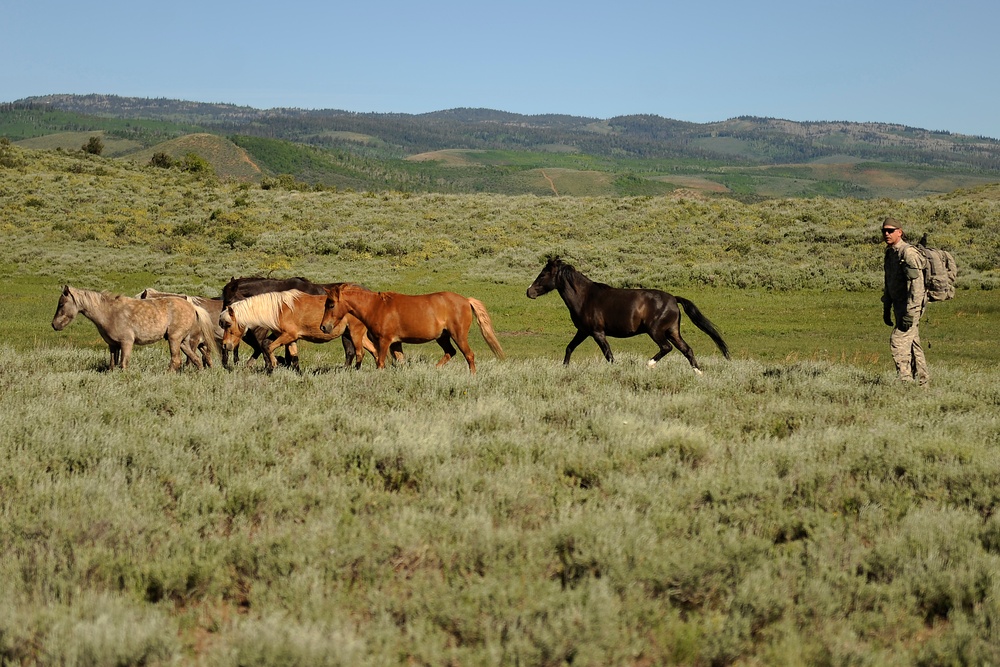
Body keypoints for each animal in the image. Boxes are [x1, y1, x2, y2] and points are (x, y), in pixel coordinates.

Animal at [50, 286, 217, 374]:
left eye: (61, 304)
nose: (54, 325)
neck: (109, 312)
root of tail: (193, 306)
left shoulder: (127, 343)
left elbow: (124, 364)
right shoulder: (113, 345)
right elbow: (113, 365)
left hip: (174, 339)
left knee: (176, 360)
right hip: (182, 342)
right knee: (196, 359)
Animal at [220, 290, 382, 374]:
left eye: (228, 324)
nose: (225, 345)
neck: (279, 310)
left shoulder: (289, 335)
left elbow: (269, 347)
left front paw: (273, 365)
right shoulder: (290, 338)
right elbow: (293, 356)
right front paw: (298, 374)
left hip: (355, 333)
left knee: (360, 353)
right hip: (355, 334)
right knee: (374, 351)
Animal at [320, 284, 504, 374]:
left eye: (331, 304)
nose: (323, 327)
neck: (376, 307)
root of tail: (466, 300)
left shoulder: (384, 341)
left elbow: (380, 363)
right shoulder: (396, 343)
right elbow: (399, 362)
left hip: (458, 335)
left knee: (469, 355)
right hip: (442, 337)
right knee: (450, 352)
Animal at [524, 258, 728, 374]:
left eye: (543, 274)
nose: (529, 292)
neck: (585, 297)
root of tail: (673, 299)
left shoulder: (597, 333)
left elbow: (609, 356)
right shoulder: (583, 331)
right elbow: (569, 348)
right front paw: (564, 369)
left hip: (656, 331)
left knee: (666, 347)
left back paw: (649, 364)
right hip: (672, 331)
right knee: (687, 350)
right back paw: (698, 374)